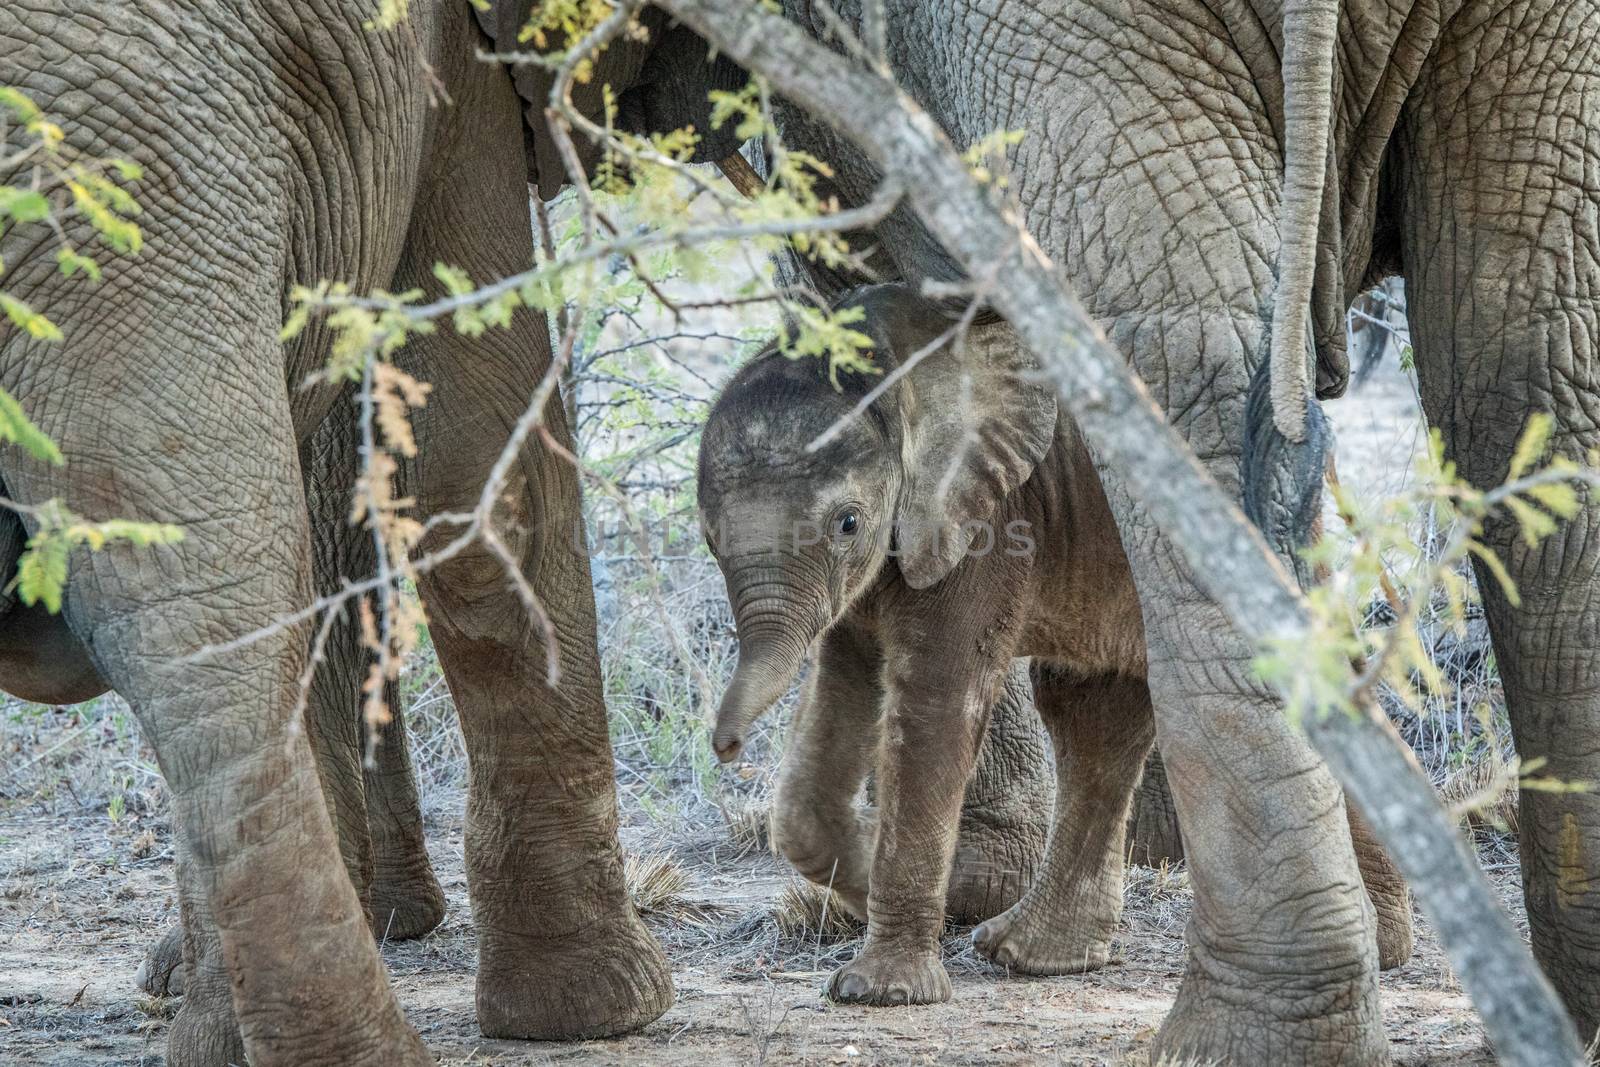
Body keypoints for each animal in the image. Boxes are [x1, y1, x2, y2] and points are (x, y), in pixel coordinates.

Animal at [694, 286, 1408, 1011]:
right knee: (1089, 707)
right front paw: (876, 880)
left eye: (847, 522)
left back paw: (1382, 947)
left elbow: (935, 701)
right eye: (709, 537)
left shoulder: (987, 518)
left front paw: (883, 989)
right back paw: (1031, 954)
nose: (724, 746)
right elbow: (840, 694)